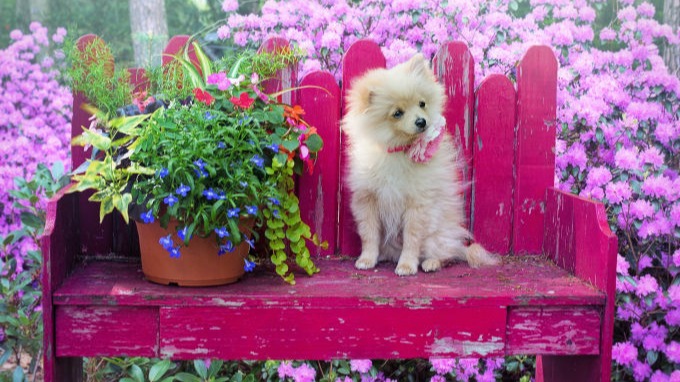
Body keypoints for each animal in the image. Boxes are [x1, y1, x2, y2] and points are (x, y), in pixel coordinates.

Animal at [342, 53, 496, 274]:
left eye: (422, 103)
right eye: (397, 113)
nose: (421, 121)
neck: (397, 151)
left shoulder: (418, 204)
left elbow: (412, 239)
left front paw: (406, 265)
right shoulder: (367, 199)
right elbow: (369, 234)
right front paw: (367, 259)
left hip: (437, 237)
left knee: (445, 254)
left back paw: (431, 262)